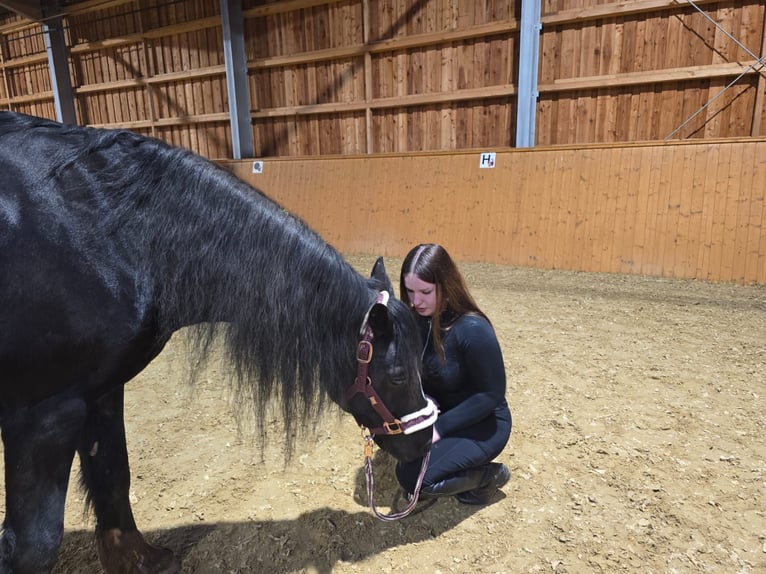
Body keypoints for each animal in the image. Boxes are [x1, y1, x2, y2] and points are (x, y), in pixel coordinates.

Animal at [0, 112, 436, 573]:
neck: (116, 236)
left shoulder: (101, 390)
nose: (426, 442)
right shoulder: (45, 414)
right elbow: (34, 545)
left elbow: (113, 474)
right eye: (397, 374)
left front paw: (139, 560)